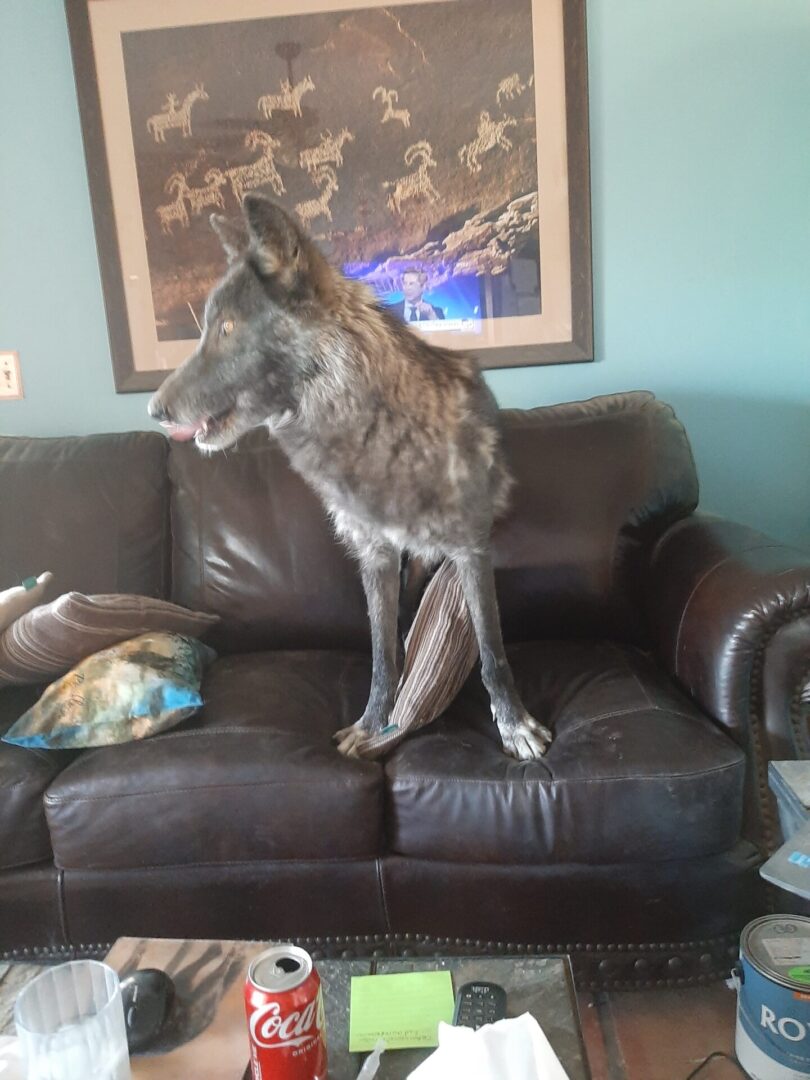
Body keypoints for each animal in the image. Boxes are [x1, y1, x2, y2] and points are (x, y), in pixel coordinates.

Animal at [147, 198, 552, 764]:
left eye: (226, 328)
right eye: (206, 328)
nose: (154, 411)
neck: (375, 427)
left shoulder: (471, 552)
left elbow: (492, 649)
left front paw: (514, 725)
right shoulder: (375, 557)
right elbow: (382, 654)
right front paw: (373, 724)